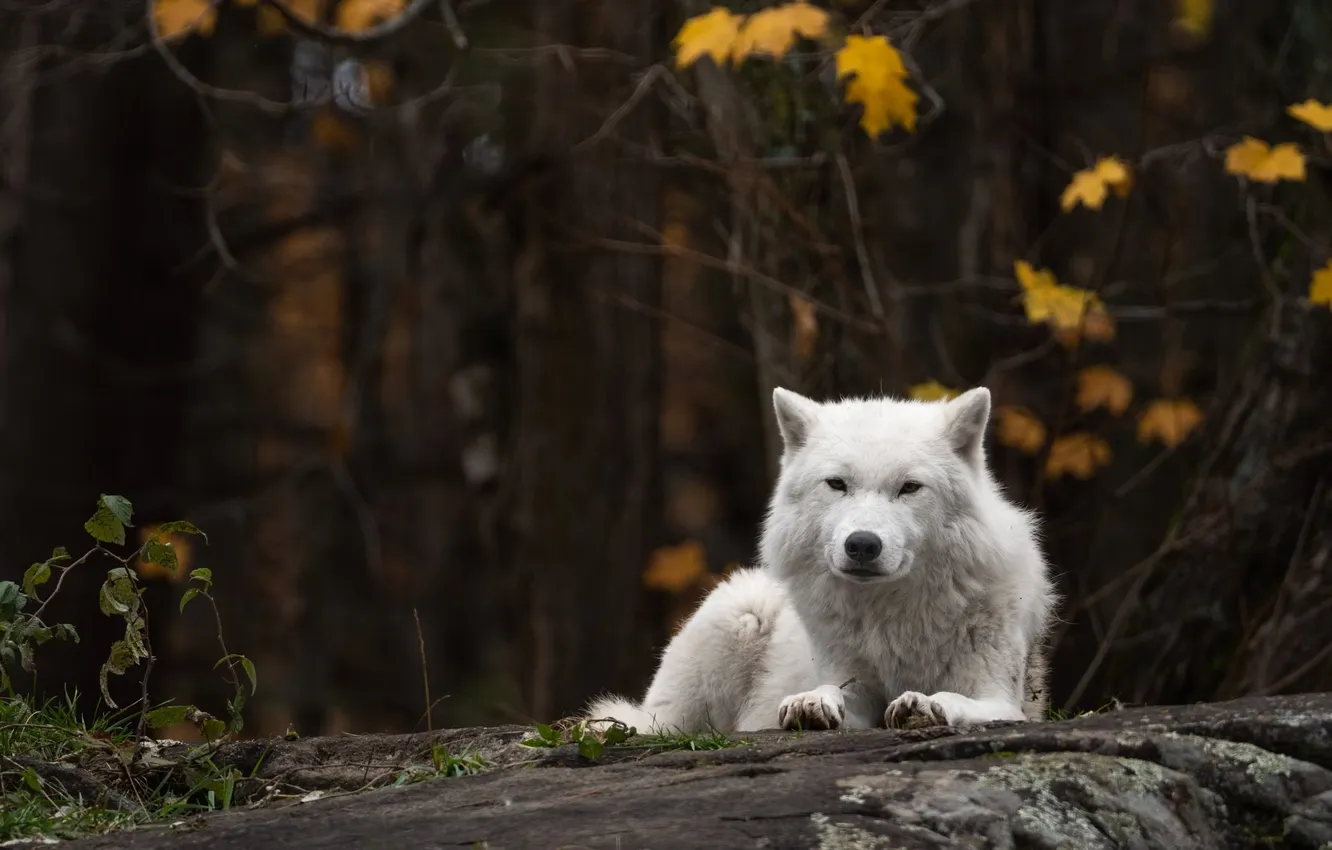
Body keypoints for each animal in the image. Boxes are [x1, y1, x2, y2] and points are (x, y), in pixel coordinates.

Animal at [587, 386, 1057, 733]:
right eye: (837, 484)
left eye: (909, 487)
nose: (862, 545)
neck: (892, 618)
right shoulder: (851, 684)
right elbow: (835, 693)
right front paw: (811, 703)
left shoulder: (1002, 698)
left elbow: (954, 698)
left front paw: (923, 704)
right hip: (737, 615)